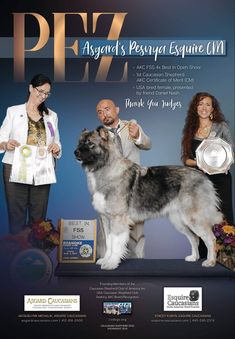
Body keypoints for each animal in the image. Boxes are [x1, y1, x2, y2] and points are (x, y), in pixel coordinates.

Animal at [75, 127, 222, 270]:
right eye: (80, 142)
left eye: (89, 143)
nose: (75, 152)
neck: (106, 167)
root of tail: (204, 176)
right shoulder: (105, 219)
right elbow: (108, 242)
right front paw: (106, 259)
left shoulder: (117, 219)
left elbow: (115, 244)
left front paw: (111, 263)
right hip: (180, 221)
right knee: (194, 238)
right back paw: (193, 257)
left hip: (193, 218)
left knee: (210, 238)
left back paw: (210, 262)